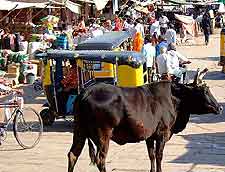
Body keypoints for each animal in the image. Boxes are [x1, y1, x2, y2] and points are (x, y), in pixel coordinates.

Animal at [67, 68, 222, 172]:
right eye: (204, 91)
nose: (219, 107)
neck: (175, 98)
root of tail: (86, 92)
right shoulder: (162, 134)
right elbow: (159, 156)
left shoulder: (150, 136)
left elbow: (151, 155)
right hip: (103, 135)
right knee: (100, 159)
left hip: (79, 130)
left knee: (73, 154)